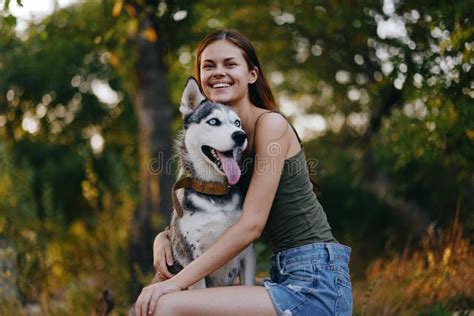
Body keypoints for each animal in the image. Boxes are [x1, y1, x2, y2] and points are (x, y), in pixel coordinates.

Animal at [166, 77, 256, 288]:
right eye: (213, 121)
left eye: (237, 123)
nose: (240, 135)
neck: (215, 191)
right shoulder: (194, 258)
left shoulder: (247, 253)